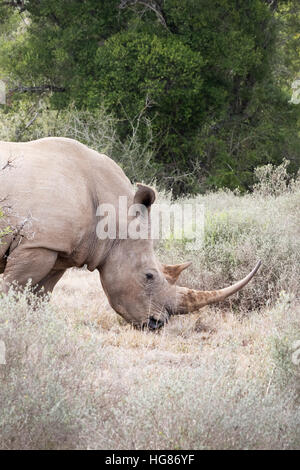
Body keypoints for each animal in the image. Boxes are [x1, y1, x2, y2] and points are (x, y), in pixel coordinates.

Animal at [0, 136, 260, 328]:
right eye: (149, 276)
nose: (158, 324)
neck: (114, 217)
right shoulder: (36, 244)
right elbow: (10, 289)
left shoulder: (59, 250)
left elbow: (38, 297)